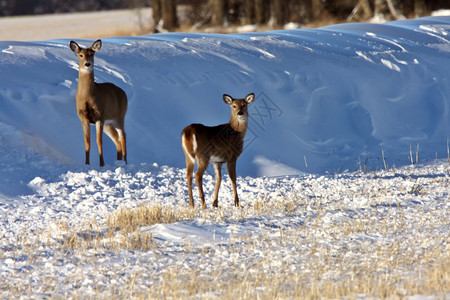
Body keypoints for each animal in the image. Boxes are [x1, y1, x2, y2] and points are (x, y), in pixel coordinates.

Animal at [69, 38, 128, 166]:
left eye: (92, 54)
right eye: (80, 55)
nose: (87, 64)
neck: (87, 97)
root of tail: (123, 93)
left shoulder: (99, 116)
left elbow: (99, 141)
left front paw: (102, 164)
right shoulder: (83, 118)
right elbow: (87, 143)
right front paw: (87, 164)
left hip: (119, 116)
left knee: (123, 136)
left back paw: (125, 162)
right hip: (108, 123)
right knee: (117, 139)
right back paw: (118, 161)